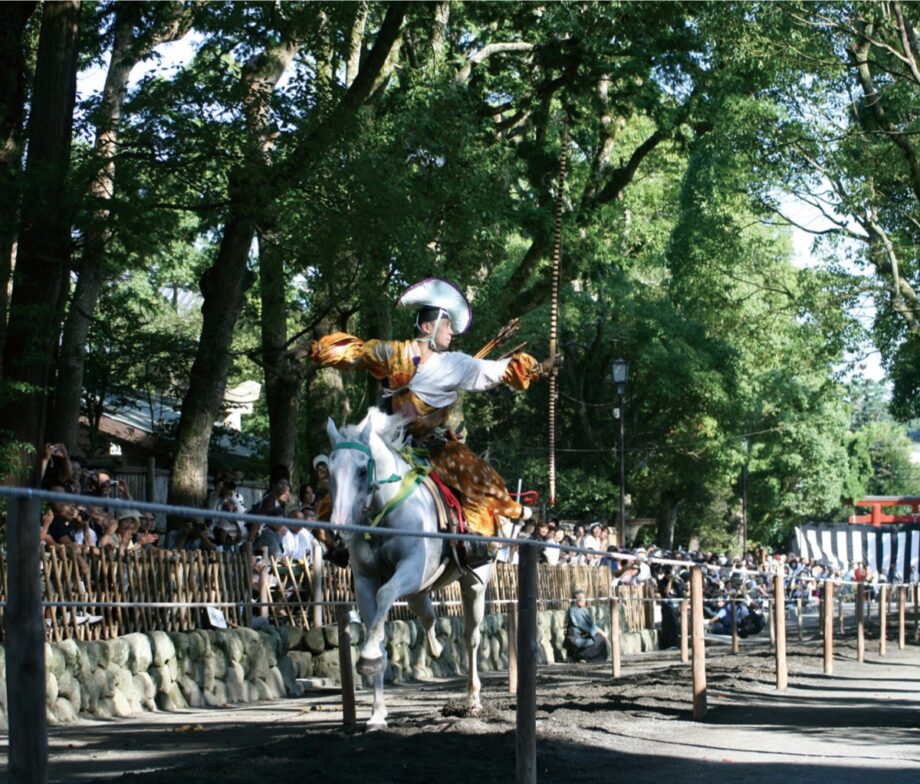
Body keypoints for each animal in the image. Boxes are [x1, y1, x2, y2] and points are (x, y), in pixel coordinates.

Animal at [326, 410, 492, 728]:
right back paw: (436, 649)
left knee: (471, 637)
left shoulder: (413, 568)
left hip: (474, 583)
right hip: (420, 591)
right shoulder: (365, 581)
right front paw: (377, 713)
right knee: (427, 615)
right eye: (329, 472)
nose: (340, 529)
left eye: (362, 471)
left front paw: (367, 656)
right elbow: (377, 632)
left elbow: (386, 593)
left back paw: (474, 700)